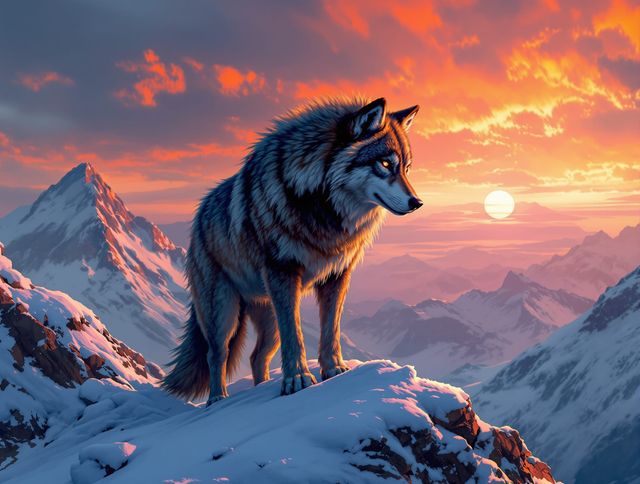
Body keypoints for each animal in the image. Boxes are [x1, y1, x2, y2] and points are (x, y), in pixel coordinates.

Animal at [163, 97, 423, 405]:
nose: (417, 202)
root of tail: (198, 219)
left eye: (406, 168)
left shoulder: (337, 275)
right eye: (384, 164)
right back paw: (218, 399)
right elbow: (296, 338)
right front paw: (297, 380)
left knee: (257, 356)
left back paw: (261, 388)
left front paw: (334, 370)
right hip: (223, 313)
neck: (322, 209)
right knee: (217, 355)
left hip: (268, 317)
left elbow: (330, 330)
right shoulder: (283, 273)